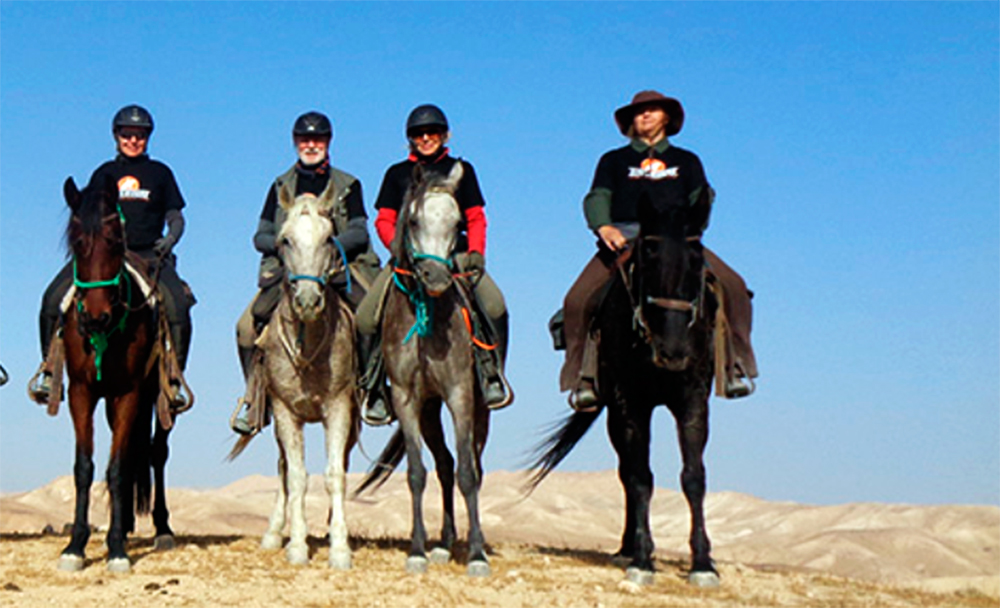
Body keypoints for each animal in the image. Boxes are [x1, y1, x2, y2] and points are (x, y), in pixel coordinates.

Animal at [56, 175, 176, 568]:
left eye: (114, 241)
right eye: (77, 242)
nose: (96, 317)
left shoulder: (129, 394)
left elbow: (119, 468)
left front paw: (117, 550)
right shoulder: (81, 392)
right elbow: (84, 467)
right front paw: (75, 546)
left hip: (156, 399)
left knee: (156, 452)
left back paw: (161, 529)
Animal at [230, 191, 360, 568]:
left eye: (329, 239)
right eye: (285, 240)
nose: (307, 301)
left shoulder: (339, 408)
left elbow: (335, 475)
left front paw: (340, 547)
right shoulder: (286, 412)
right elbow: (297, 476)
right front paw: (298, 546)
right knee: (283, 468)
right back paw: (274, 533)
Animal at [360, 164, 496, 576]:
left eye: (456, 222)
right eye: (414, 220)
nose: (436, 279)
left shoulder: (460, 394)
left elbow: (469, 473)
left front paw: (477, 556)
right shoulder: (408, 399)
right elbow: (417, 473)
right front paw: (418, 550)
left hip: (478, 408)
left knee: (471, 465)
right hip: (429, 410)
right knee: (444, 464)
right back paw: (444, 544)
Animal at [532, 202, 720, 588]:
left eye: (697, 260)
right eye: (647, 261)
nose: (672, 351)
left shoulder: (693, 402)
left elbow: (694, 476)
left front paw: (703, 563)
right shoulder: (631, 404)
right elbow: (640, 477)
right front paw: (642, 560)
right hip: (614, 416)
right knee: (626, 473)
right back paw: (626, 548)